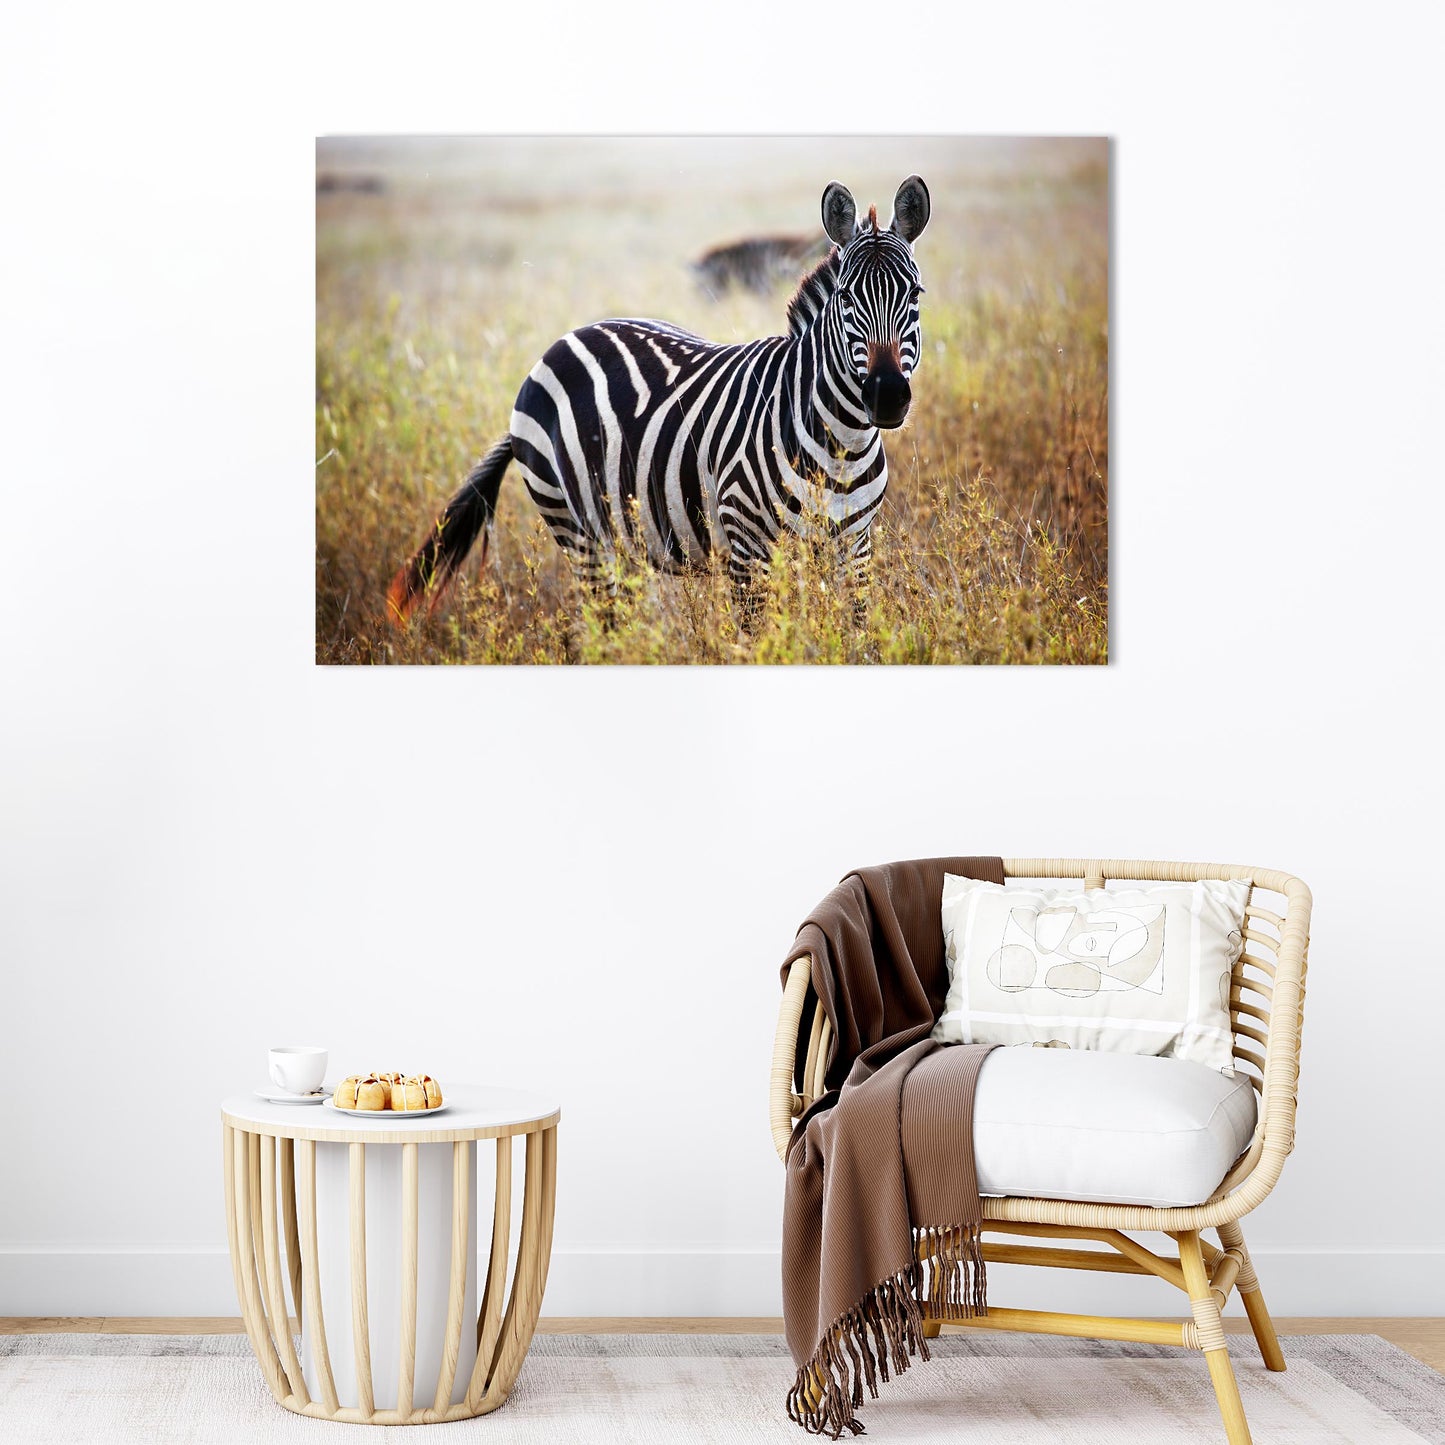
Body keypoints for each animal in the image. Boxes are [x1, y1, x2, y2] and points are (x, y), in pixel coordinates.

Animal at [387, 175, 931, 625]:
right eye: (846, 298)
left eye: (916, 296)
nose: (886, 396)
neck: (841, 443)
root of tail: (563, 340)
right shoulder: (747, 549)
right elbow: (759, 641)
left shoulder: (855, 549)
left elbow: (854, 636)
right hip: (577, 532)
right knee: (605, 627)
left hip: (623, 536)